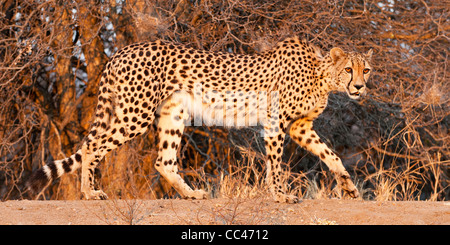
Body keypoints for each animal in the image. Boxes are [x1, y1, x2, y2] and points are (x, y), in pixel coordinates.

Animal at [28, 36, 372, 203]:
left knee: (163, 161)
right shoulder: (275, 124)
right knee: (91, 146)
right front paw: (280, 195)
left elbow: (331, 155)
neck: (323, 77)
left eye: (365, 70)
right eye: (348, 69)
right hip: (135, 114)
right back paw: (89, 192)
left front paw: (349, 188)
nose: (359, 87)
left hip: (172, 115)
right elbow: (276, 166)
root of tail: (120, 52)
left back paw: (191, 194)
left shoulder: (301, 127)